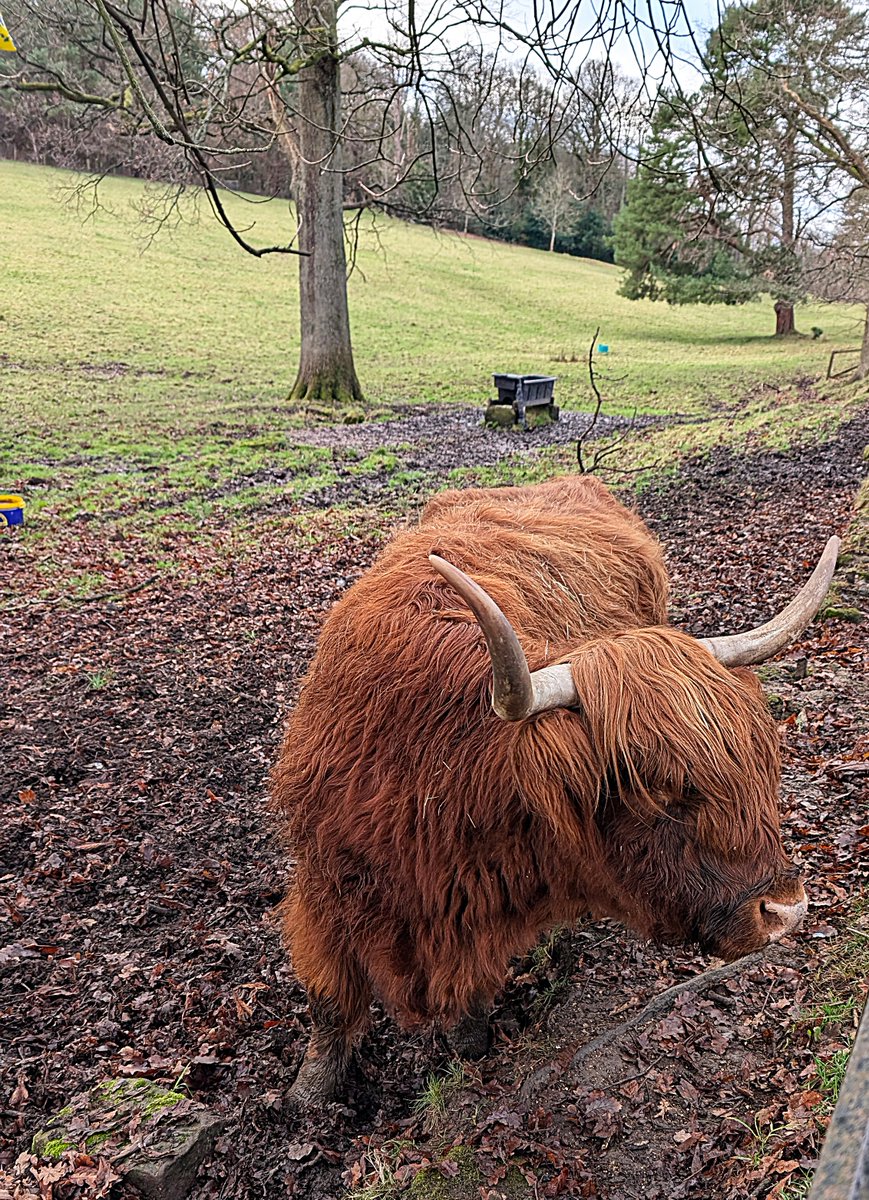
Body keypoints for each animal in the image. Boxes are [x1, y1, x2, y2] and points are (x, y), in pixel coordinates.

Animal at [271, 475, 838, 1104]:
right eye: (661, 791)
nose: (786, 910)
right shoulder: (329, 884)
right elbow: (329, 997)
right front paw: (308, 1094)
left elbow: (468, 989)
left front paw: (468, 1045)